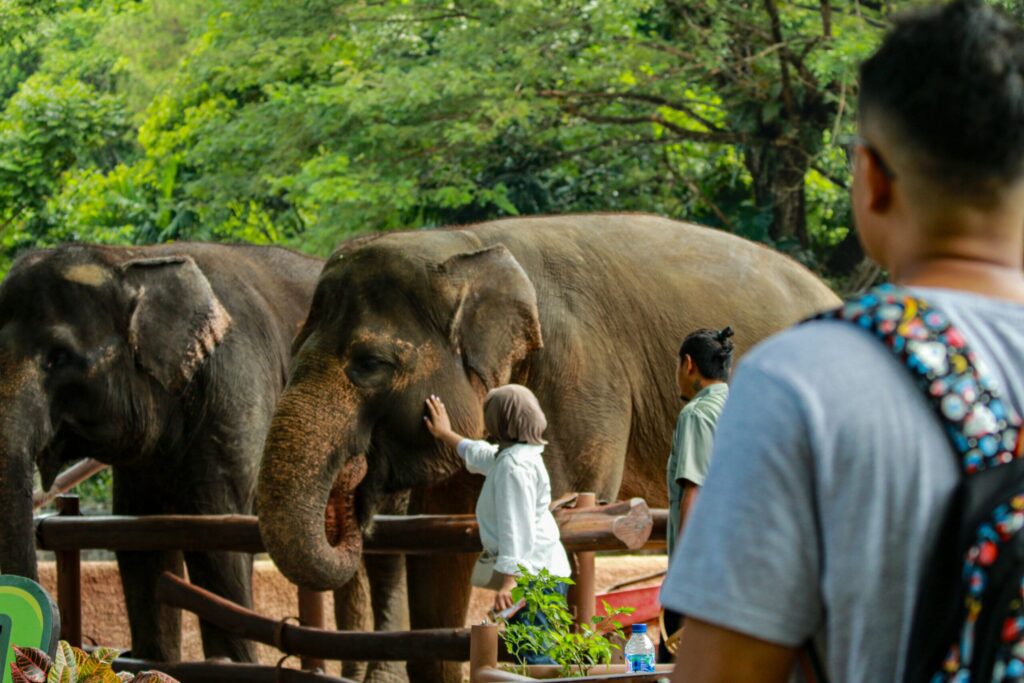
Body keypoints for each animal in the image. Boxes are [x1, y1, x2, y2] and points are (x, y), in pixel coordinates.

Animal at [0, 242, 327, 663]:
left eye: (59, 357)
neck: (132, 260)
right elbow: (142, 540)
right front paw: (154, 661)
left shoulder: (236, 388)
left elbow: (216, 534)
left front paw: (231, 662)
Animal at [256, 213, 840, 683]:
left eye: (370, 364)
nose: (353, 501)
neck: (468, 245)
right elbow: (440, 544)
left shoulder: (578, 373)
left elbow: (562, 504)